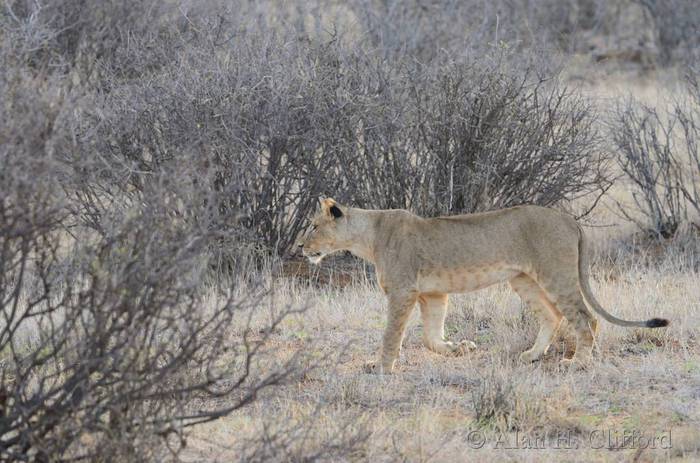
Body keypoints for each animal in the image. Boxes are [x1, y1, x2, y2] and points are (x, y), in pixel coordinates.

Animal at [296, 198, 669, 373]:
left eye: (313, 225)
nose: (299, 246)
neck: (367, 237)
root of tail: (569, 219)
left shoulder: (403, 291)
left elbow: (391, 335)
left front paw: (381, 368)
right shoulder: (433, 293)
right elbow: (430, 337)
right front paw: (459, 348)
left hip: (556, 274)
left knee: (585, 318)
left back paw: (578, 362)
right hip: (523, 279)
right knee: (552, 316)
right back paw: (532, 355)